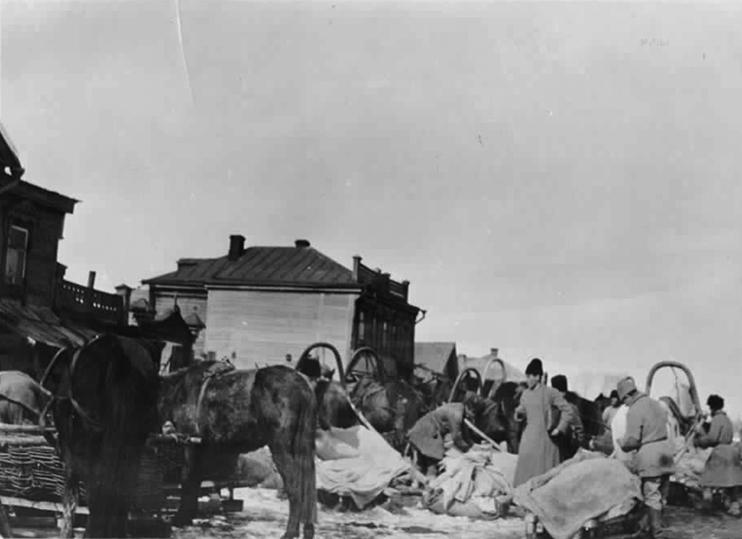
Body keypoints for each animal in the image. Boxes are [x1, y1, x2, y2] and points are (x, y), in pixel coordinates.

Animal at [41, 336, 161, 536]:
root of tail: (117, 352)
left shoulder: (72, 446)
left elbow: (71, 493)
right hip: (132, 437)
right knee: (121, 483)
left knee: (98, 486)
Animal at [160, 358, 316, 539]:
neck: (177, 391)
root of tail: (301, 384)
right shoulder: (202, 449)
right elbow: (197, 481)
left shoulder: (189, 444)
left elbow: (188, 480)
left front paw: (181, 518)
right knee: (308, 488)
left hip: (281, 449)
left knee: (295, 487)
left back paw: (290, 532)